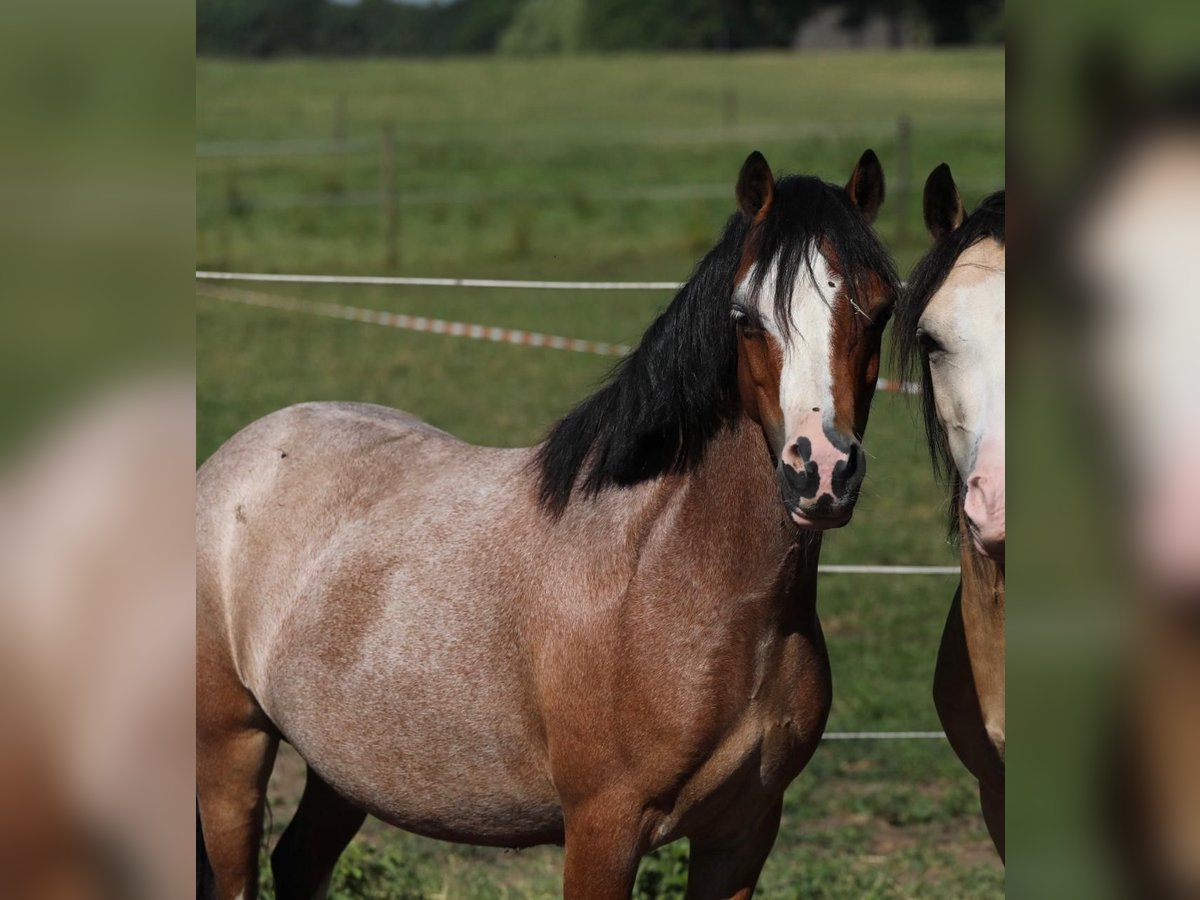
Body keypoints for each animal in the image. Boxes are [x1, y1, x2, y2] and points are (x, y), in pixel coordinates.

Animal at [194, 151, 902, 897]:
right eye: (744, 316)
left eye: (881, 308)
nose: (820, 470)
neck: (677, 577)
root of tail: (233, 459)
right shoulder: (604, 829)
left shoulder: (743, 834)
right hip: (231, 749)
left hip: (345, 767)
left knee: (298, 861)